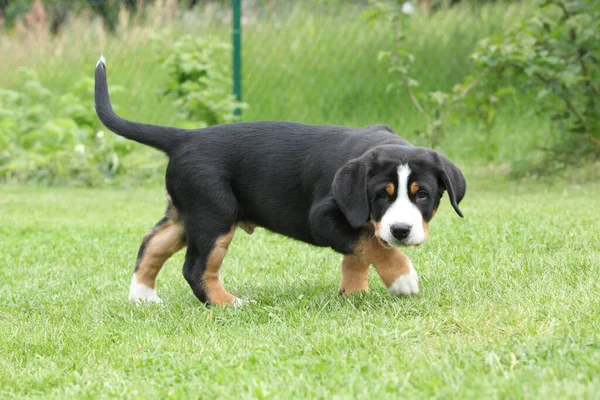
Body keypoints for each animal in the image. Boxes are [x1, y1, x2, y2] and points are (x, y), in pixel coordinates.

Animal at [95, 57, 468, 306]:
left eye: (423, 195)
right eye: (382, 195)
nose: (401, 231)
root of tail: (186, 137)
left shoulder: (356, 220)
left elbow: (358, 250)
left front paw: (354, 292)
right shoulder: (323, 217)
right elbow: (372, 245)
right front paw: (401, 277)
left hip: (185, 214)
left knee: (152, 244)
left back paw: (143, 297)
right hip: (213, 214)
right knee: (196, 268)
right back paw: (228, 303)